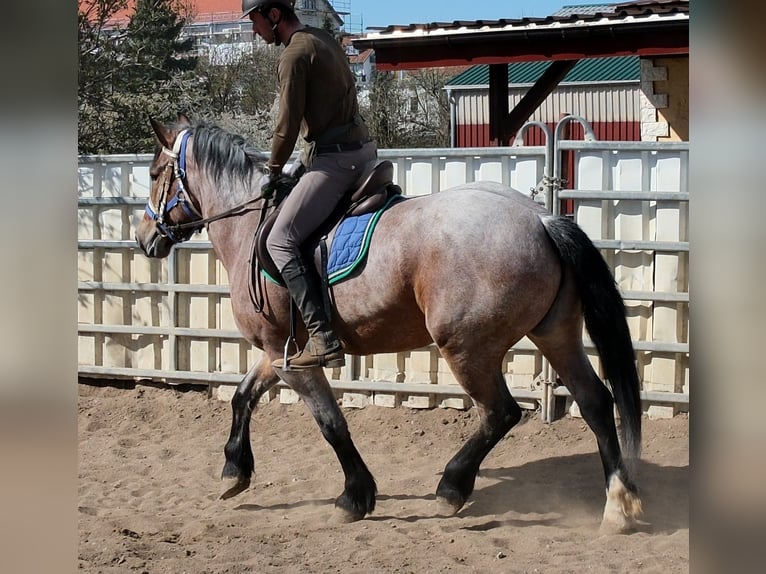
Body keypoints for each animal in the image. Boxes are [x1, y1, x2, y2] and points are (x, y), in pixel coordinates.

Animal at [135, 115, 643, 532]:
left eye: (156, 173)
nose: (143, 238)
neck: (251, 228)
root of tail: (539, 219)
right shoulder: (280, 351)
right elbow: (243, 397)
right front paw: (233, 472)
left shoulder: (291, 359)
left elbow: (331, 424)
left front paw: (354, 497)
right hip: (555, 335)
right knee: (596, 403)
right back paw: (618, 504)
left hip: (467, 349)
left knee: (500, 413)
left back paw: (452, 488)